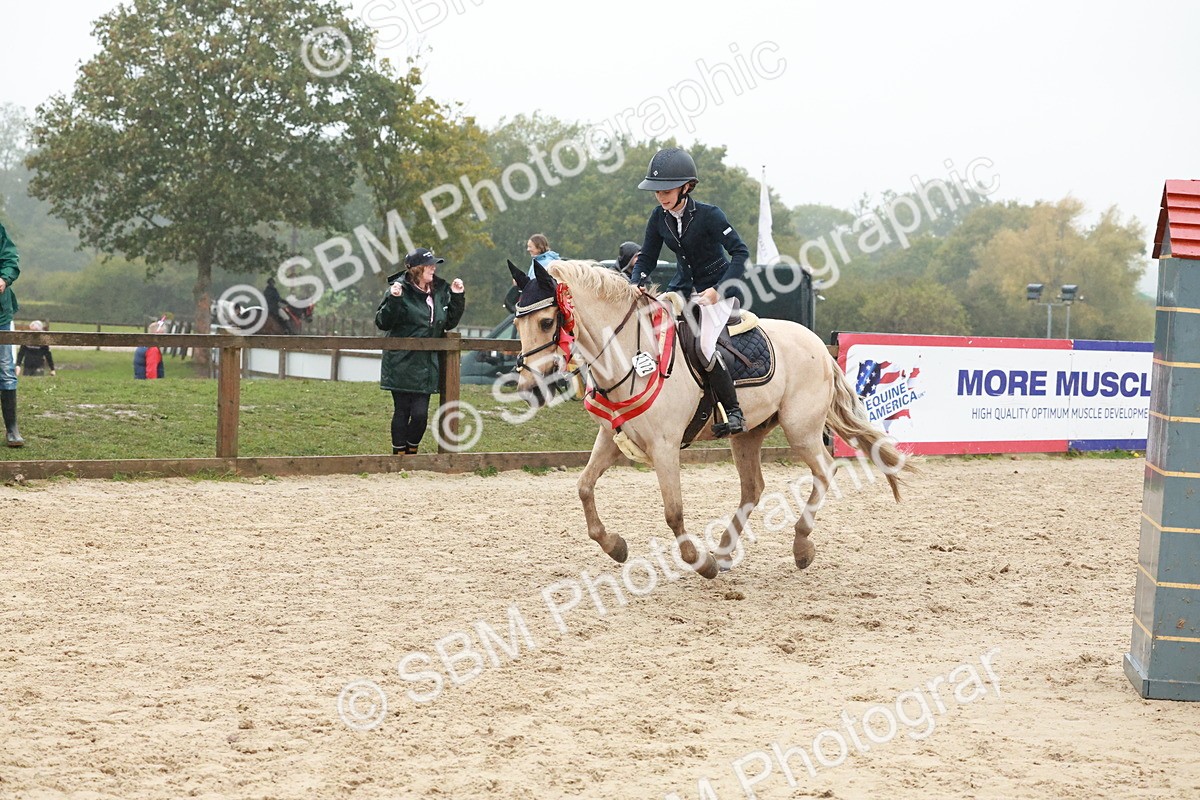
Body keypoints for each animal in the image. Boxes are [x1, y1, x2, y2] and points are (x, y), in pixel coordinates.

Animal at [510, 259, 912, 579]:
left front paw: (699, 562)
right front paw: (616, 546)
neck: (630, 356)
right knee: (753, 488)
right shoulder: (611, 439)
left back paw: (799, 547)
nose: (529, 389)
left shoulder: (665, 446)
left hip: (802, 430)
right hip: (748, 433)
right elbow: (584, 487)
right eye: (518, 323)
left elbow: (673, 512)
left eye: (546, 321)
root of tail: (818, 346)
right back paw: (724, 550)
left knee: (824, 471)